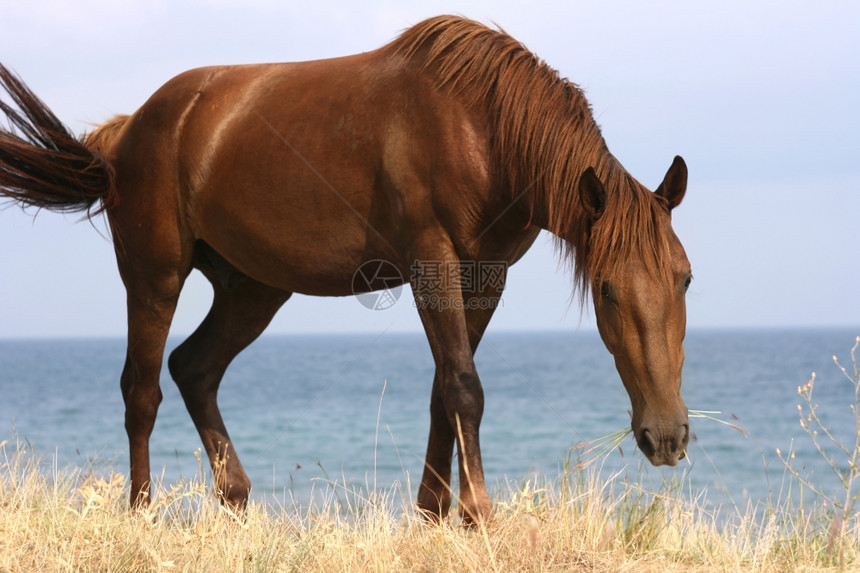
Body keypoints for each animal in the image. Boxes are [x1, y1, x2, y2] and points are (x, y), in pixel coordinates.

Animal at [0, 14, 688, 524]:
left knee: (194, 368)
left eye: (685, 278)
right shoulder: (432, 262)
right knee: (141, 389)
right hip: (154, 277)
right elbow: (464, 386)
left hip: (254, 289)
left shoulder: (484, 276)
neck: (479, 126)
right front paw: (478, 515)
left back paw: (236, 501)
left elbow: (446, 388)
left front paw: (435, 514)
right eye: (605, 289)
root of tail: (126, 134)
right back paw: (140, 514)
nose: (667, 437)